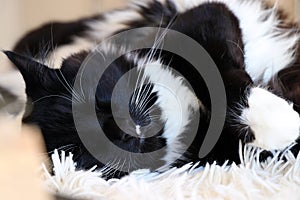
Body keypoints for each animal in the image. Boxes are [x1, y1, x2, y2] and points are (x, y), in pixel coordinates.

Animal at [2, 0, 300, 178]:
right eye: (79, 151)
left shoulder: (204, 16)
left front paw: (272, 116)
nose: (120, 131)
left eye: (93, 102)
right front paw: (277, 123)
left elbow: (217, 65)